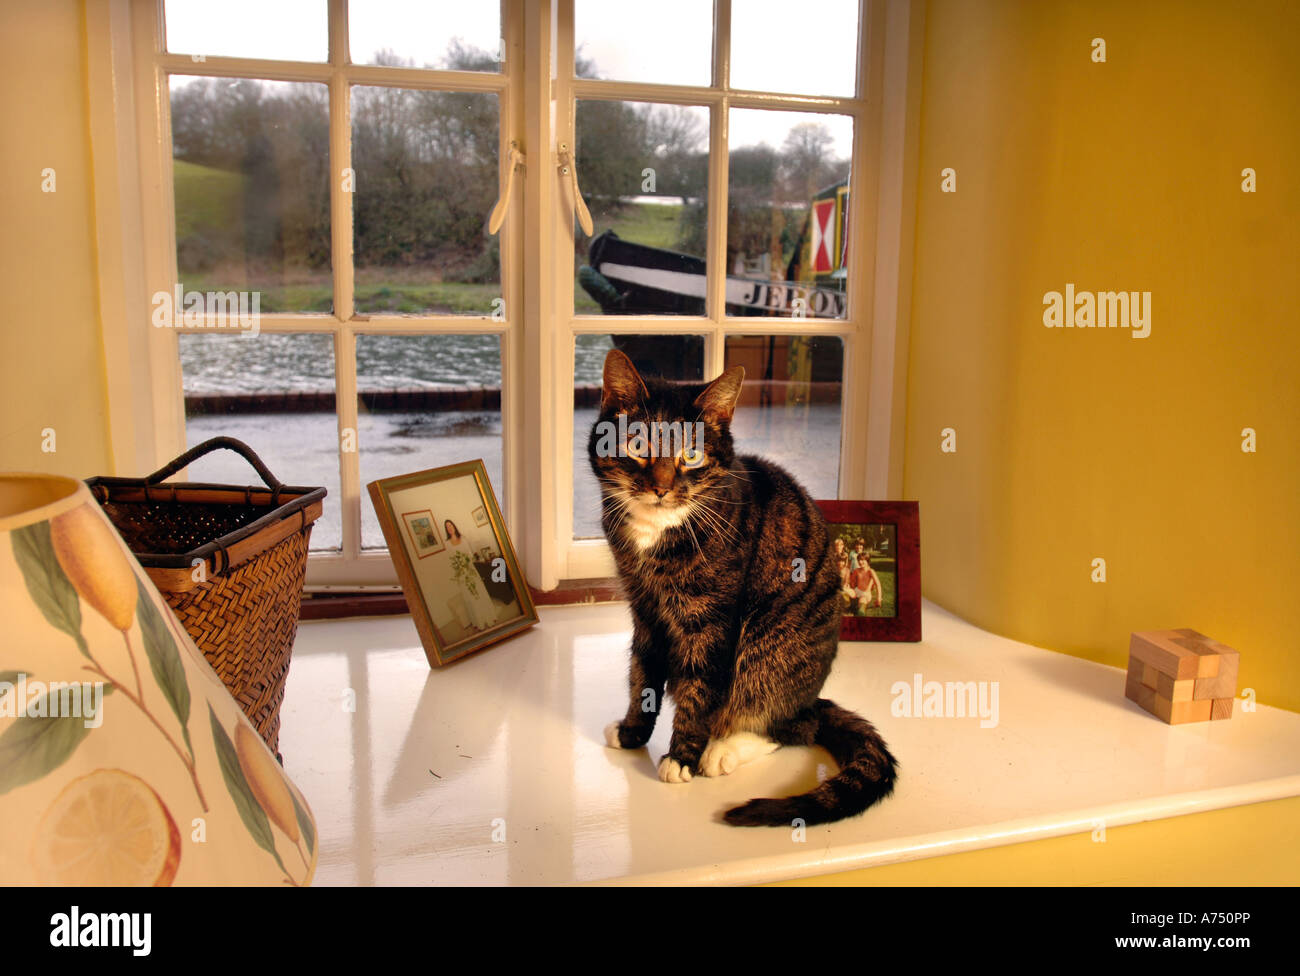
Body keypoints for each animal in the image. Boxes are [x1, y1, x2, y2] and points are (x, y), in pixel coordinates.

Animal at [595, 350, 899, 826]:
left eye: (691, 454)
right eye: (638, 447)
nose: (661, 488)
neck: (656, 532)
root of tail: (811, 700)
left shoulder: (713, 619)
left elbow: (700, 686)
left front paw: (680, 758)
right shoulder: (643, 608)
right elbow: (642, 674)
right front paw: (631, 732)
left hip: (768, 648)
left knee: (788, 723)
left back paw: (724, 750)